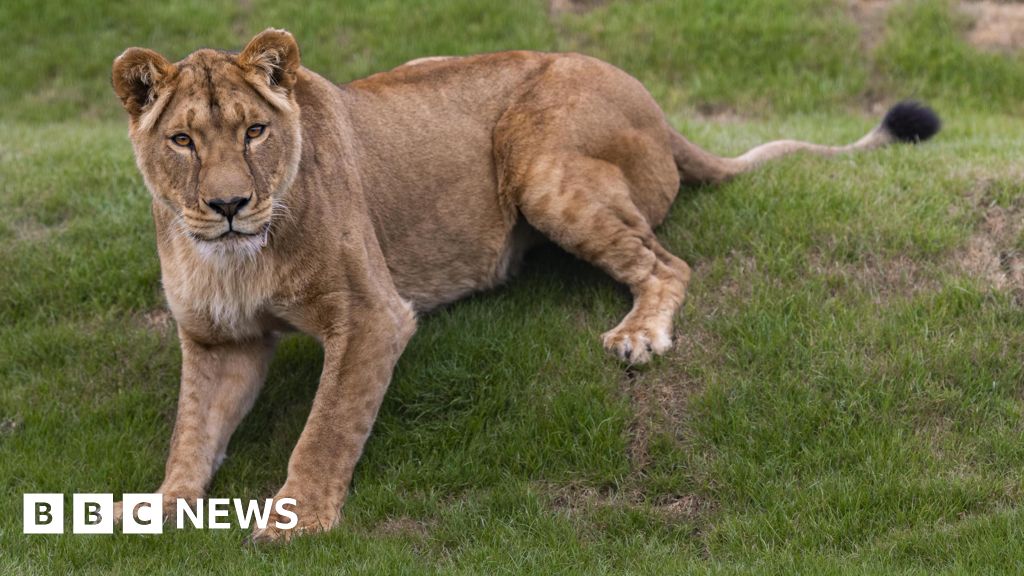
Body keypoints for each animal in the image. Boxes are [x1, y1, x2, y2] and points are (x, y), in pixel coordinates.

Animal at [110, 29, 939, 542]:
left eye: (255, 131)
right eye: (182, 140)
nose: (228, 205)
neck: (235, 257)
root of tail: (649, 98)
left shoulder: (374, 315)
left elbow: (328, 427)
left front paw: (297, 519)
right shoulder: (218, 341)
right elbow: (192, 430)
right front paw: (161, 508)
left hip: (543, 168)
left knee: (668, 265)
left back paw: (639, 337)